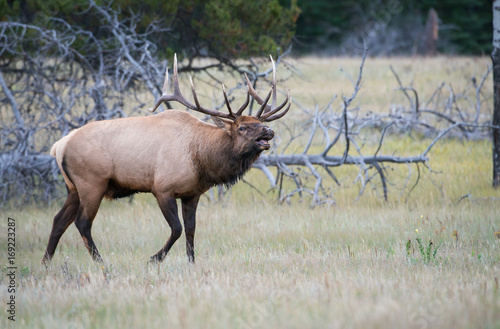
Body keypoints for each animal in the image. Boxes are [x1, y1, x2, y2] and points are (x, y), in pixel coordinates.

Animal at [43, 55, 292, 262]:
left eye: (259, 123)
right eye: (242, 127)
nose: (269, 131)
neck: (201, 158)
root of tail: (59, 146)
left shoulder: (192, 193)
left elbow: (191, 229)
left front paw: (192, 262)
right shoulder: (162, 188)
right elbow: (177, 229)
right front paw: (155, 258)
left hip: (73, 187)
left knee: (58, 220)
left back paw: (47, 262)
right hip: (92, 183)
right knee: (82, 223)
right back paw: (101, 263)